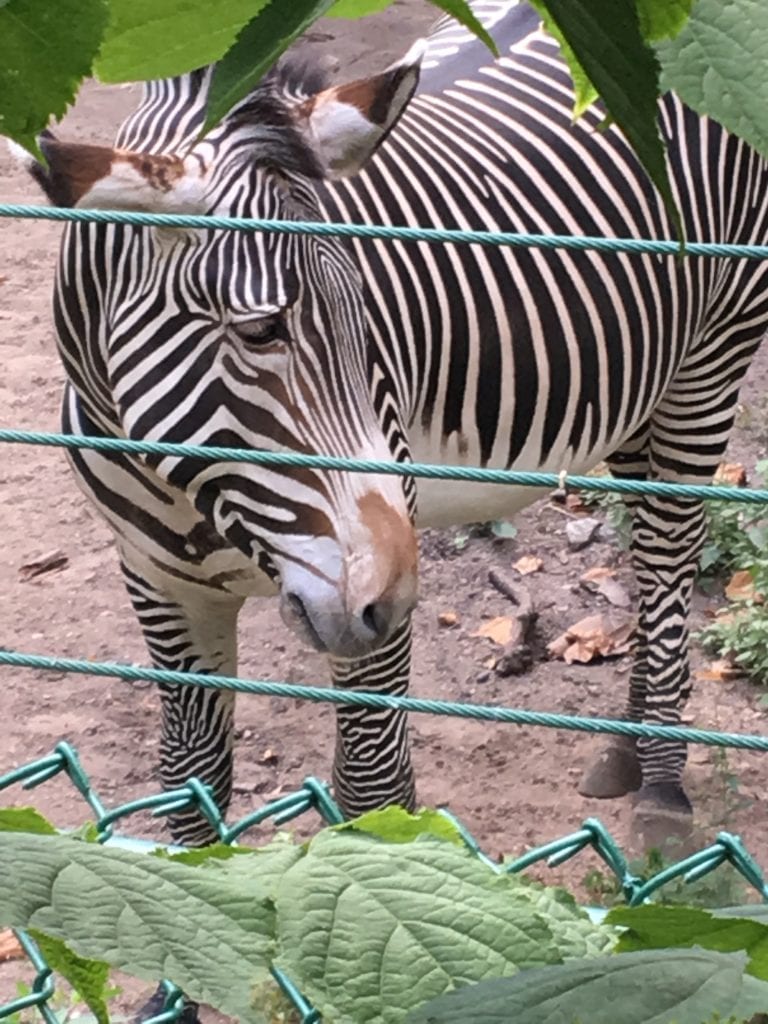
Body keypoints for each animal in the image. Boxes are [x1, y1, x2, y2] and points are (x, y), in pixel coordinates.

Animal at [18, 0, 768, 850]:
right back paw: (626, 751)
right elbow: (191, 788)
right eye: (260, 330)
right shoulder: (159, 584)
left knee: (671, 552)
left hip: (712, 355)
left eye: (369, 319)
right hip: (642, 380)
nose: (393, 599)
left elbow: (374, 793)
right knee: (646, 548)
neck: (194, 494)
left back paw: (663, 785)